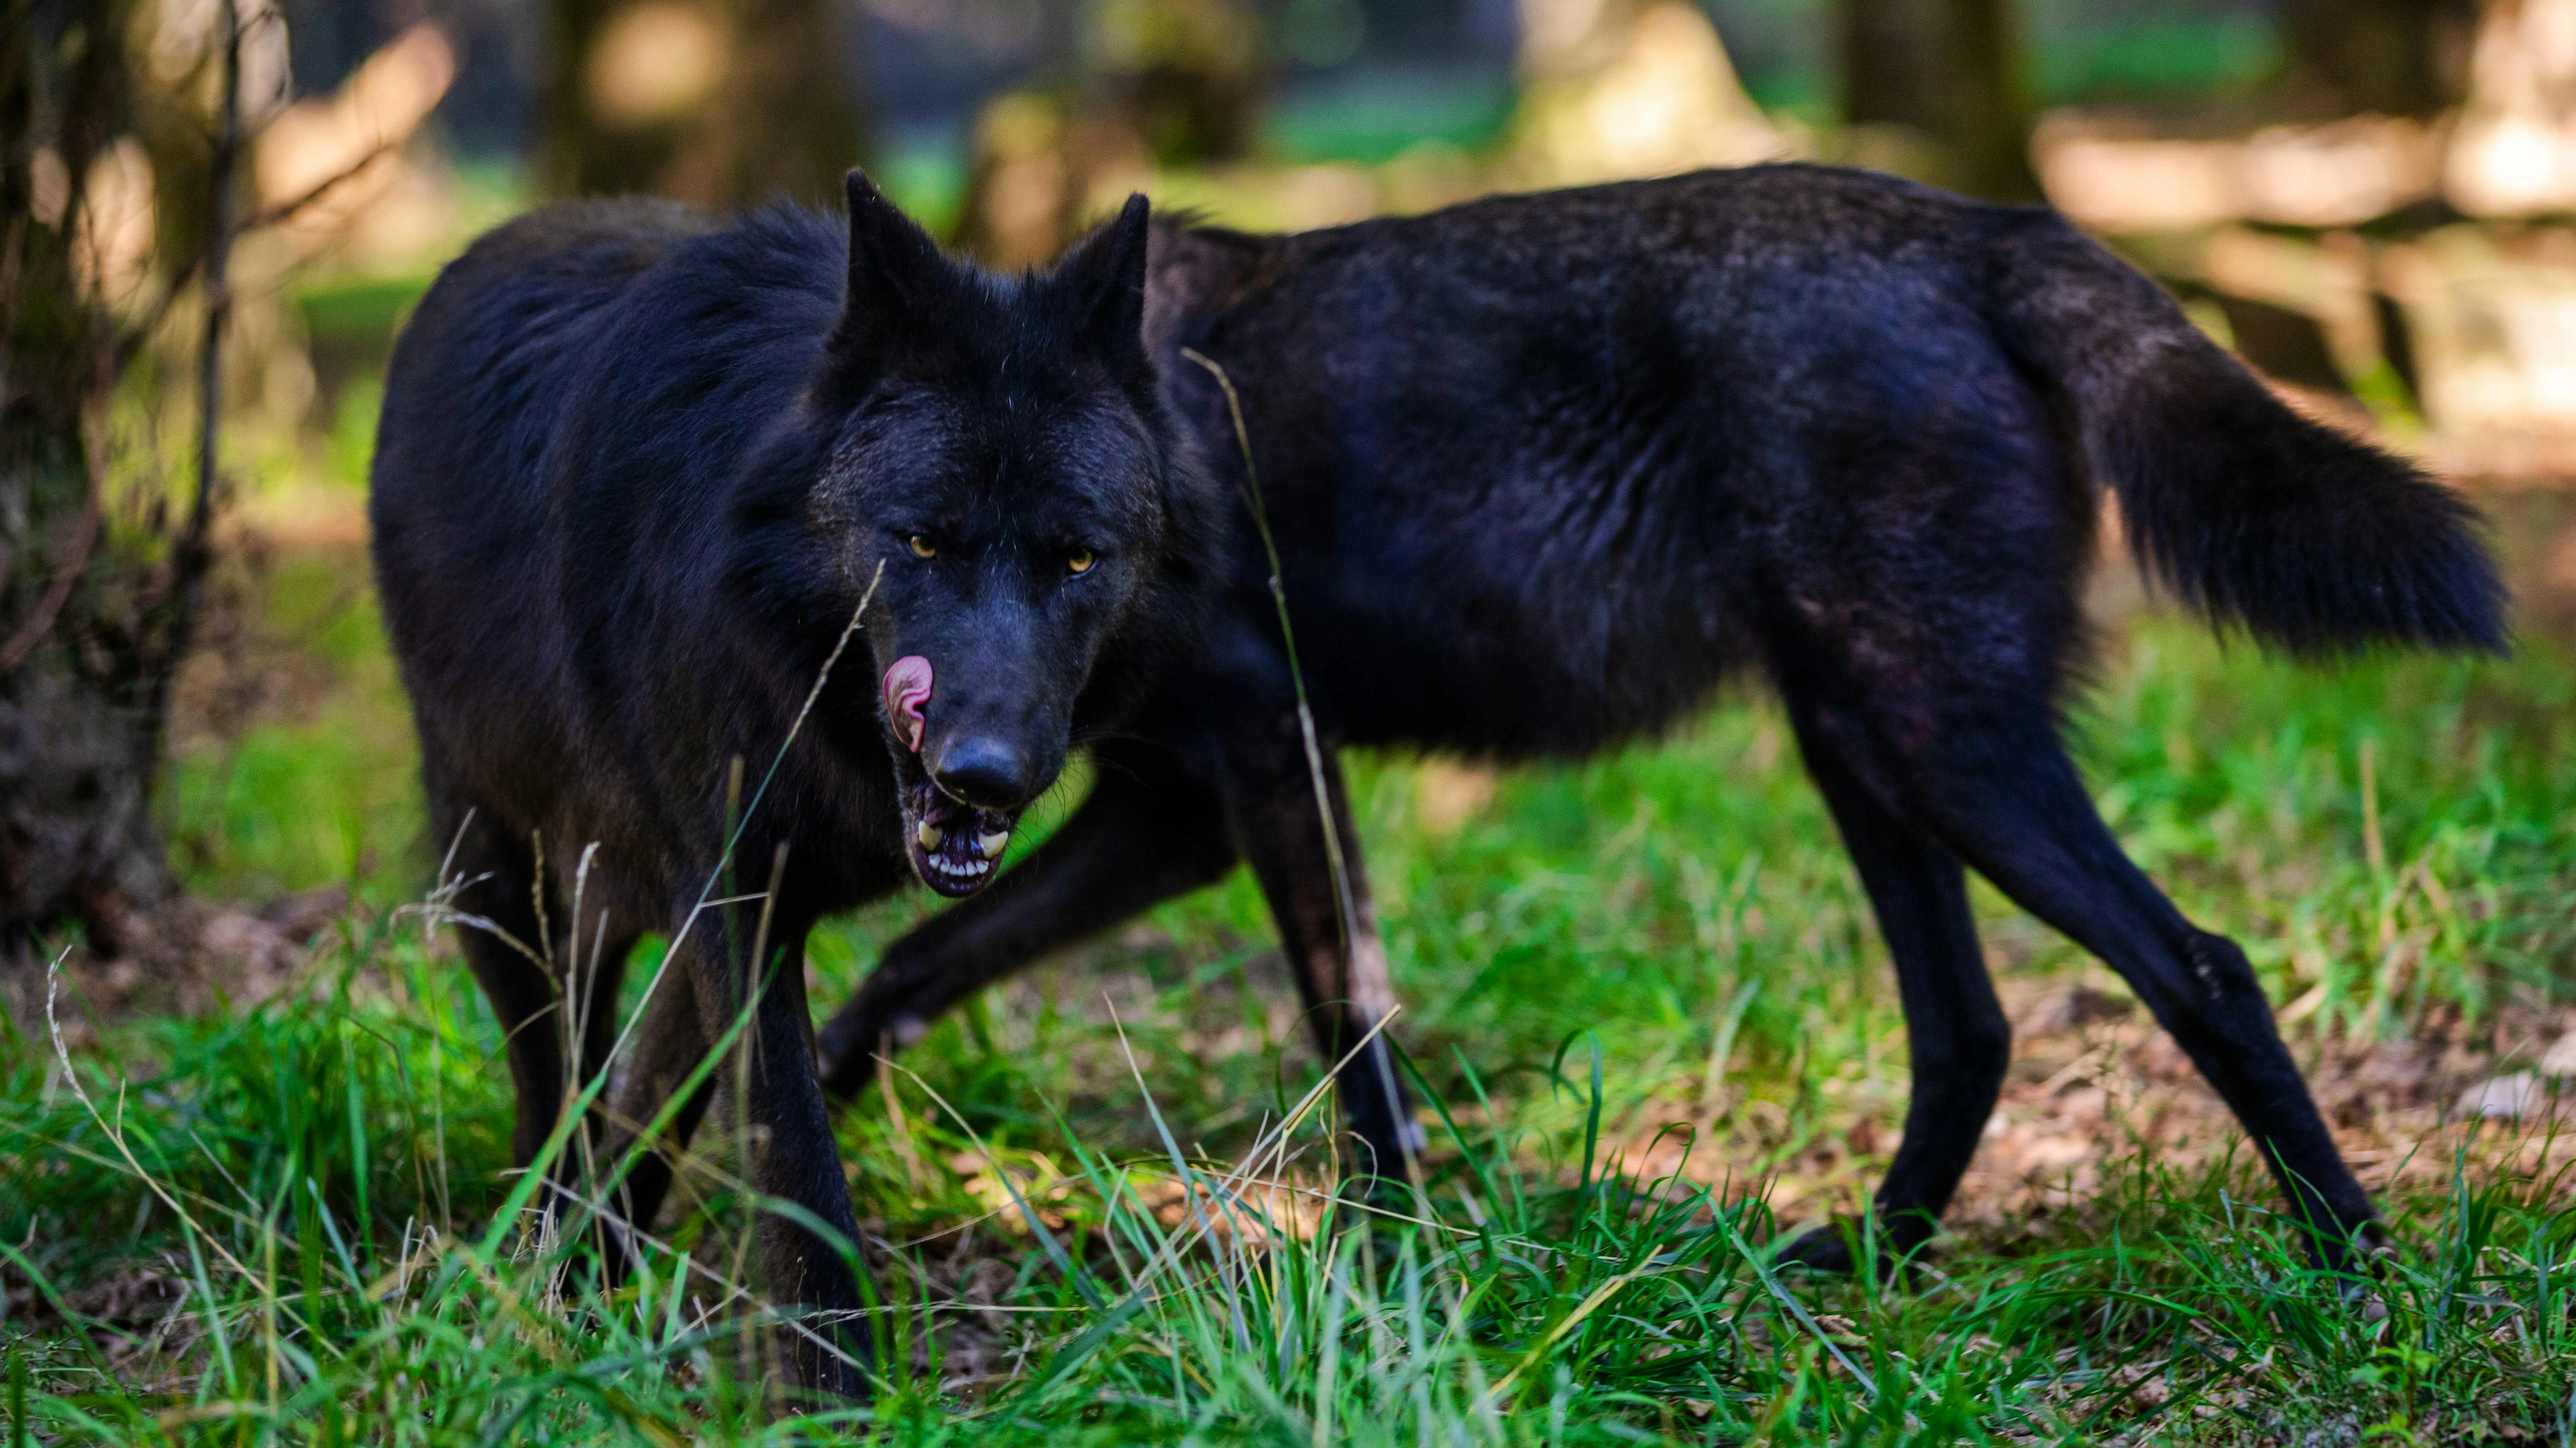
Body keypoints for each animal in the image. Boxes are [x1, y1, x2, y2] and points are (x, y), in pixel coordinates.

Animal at [370, 176, 1219, 1392]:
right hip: (494, 868)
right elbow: (796, 1156)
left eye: (1077, 557)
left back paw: (587, 1252)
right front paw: (838, 1394)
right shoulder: (736, 893)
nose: (984, 771)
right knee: (555, 1069)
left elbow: (693, 1099)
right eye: (920, 541)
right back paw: (539, 1249)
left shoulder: (743, 899)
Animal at [815, 164, 2505, 1272]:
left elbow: (1351, 1028)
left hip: (1940, 753)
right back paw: (1863, 1258)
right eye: (919, 540)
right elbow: (904, 965)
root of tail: (1983, 225)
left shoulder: (1262, 763)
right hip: (1862, 753)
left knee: (2204, 965)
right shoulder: (1174, 813)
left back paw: (2358, 1273)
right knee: (1971, 1023)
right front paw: (778, 1153)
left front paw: (1384, 1263)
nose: (972, 761)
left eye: (1064, 553)